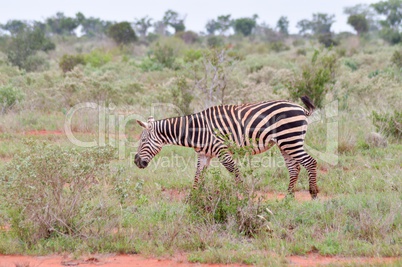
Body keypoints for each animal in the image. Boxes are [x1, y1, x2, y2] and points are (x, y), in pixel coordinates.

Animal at [137, 96, 318, 199]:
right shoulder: (204, 154)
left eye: (143, 140)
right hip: (285, 143)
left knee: (311, 162)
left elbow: (235, 173)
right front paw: (192, 198)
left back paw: (314, 193)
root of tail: (300, 108)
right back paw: (288, 197)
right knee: (294, 168)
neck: (197, 130)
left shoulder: (221, 150)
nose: (136, 162)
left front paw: (245, 197)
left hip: (290, 140)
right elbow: (197, 176)